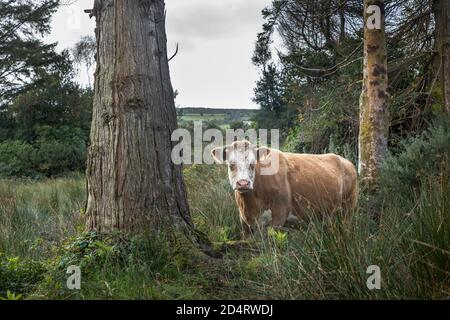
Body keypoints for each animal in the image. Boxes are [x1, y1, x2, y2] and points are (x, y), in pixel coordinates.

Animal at [211, 141, 358, 238]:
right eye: (231, 165)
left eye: (252, 165)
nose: (243, 183)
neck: (251, 206)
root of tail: (346, 161)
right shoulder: (245, 223)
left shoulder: (279, 216)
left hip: (348, 208)